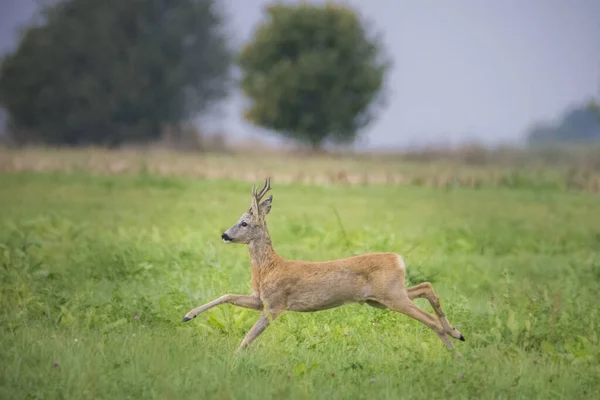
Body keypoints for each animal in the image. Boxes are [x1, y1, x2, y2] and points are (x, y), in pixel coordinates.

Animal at [182, 178, 464, 354]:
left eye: (244, 223)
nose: (224, 235)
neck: (269, 267)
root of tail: (398, 258)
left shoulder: (275, 304)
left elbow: (249, 336)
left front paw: (233, 361)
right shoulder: (260, 299)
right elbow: (227, 296)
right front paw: (188, 315)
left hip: (391, 296)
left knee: (429, 318)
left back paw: (456, 354)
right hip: (382, 298)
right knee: (426, 287)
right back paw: (457, 334)